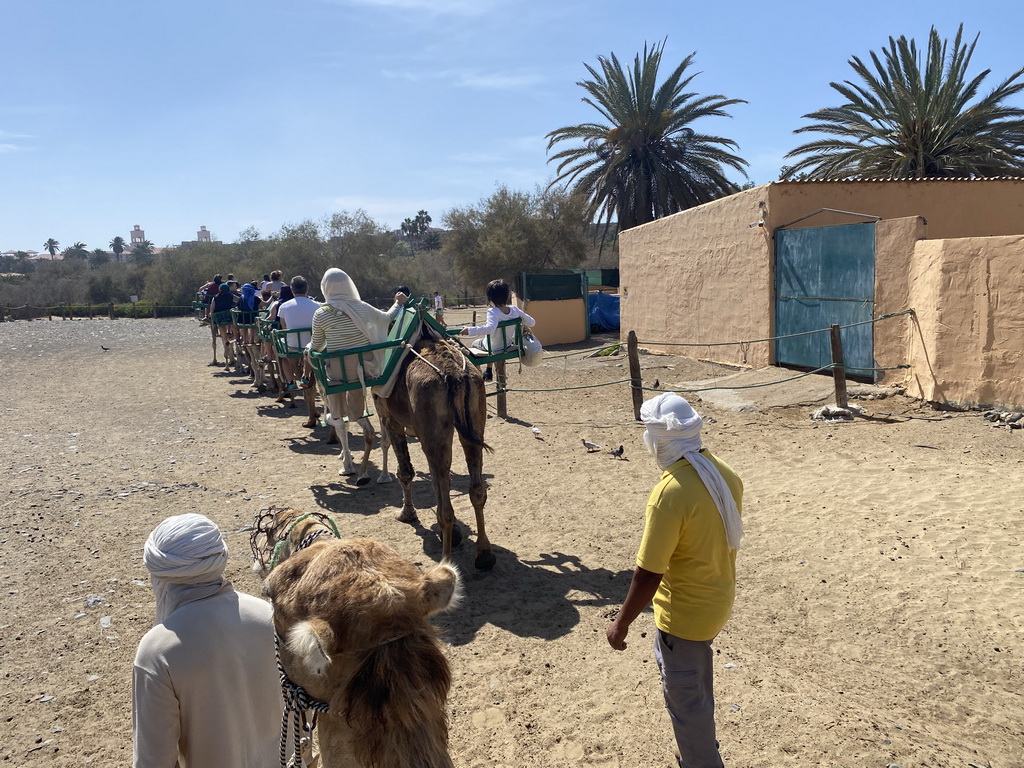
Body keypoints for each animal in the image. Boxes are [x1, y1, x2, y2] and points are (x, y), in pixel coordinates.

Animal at [372, 335, 495, 573]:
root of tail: (454, 374)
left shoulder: (390, 419)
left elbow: (405, 472)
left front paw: (407, 513)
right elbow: (440, 483)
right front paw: (455, 533)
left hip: (432, 428)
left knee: (446, 508)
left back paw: (446, 563)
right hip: (474, 421)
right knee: (476, 489)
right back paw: (484, 554)